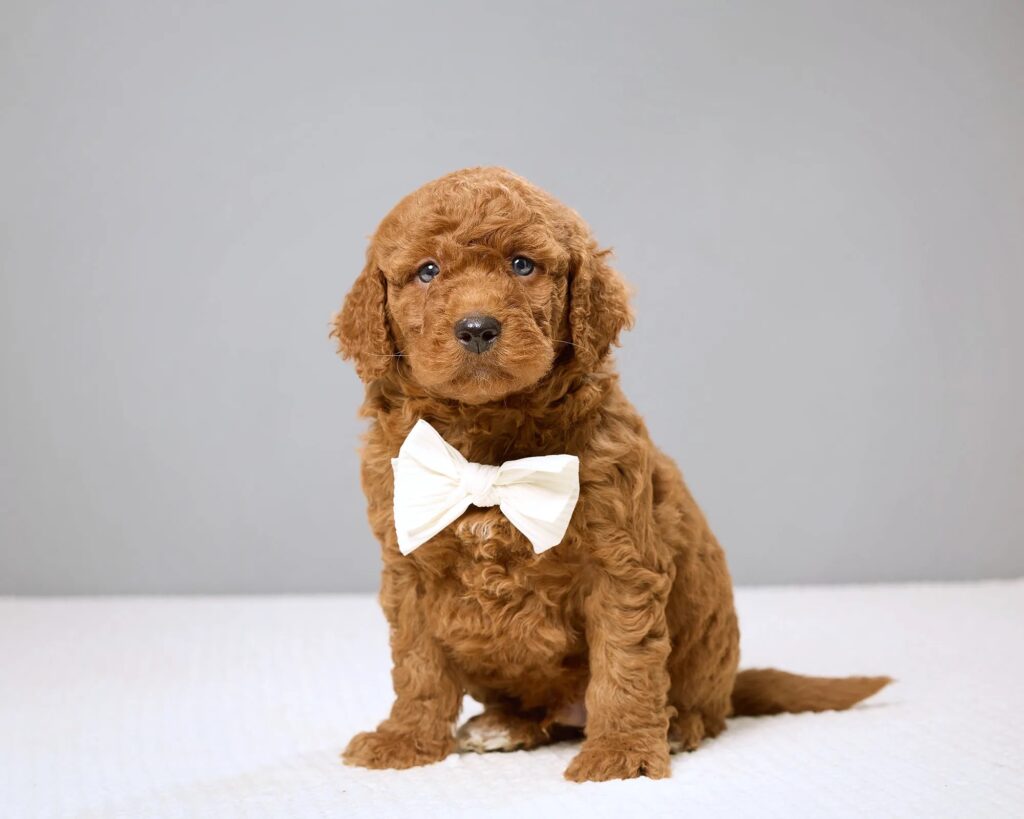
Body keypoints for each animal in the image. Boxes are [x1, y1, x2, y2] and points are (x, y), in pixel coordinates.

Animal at [329, 165, 888, 782]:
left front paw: (621, 752)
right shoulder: (409, 564)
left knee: (702, 710)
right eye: (427, 271)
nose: (476, 327)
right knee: (538, 712)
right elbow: (418, 664)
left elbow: (626, 660)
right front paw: (406, 739)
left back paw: (675, 726)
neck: (488, 441)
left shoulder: (620, 563)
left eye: (522, 264)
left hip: (706, 658)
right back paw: (505, 725)